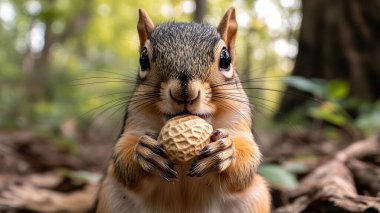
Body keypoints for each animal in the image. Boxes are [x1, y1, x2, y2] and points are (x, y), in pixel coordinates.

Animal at [95, 7, 274, 212]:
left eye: (225, 59)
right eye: (143, 59)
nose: (185, 94)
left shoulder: (239, 119)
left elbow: (246, 161)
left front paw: (227, 150)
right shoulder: (135, 119)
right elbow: (123, 157)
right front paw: (144, 151)